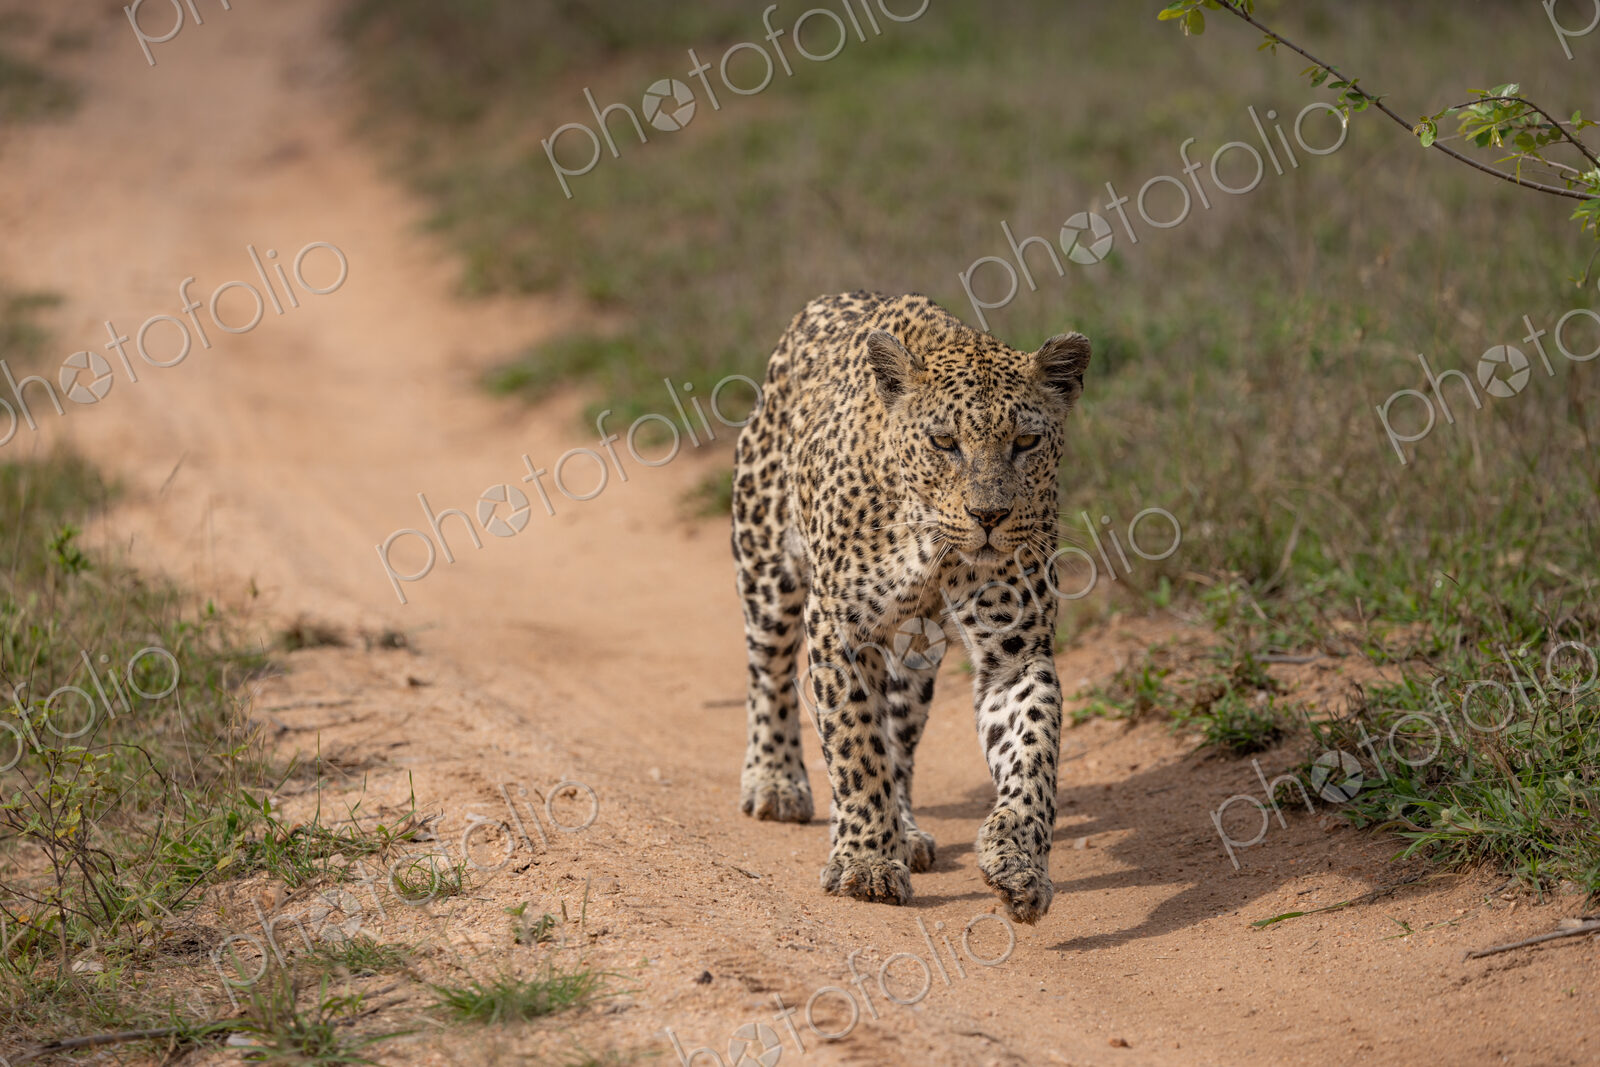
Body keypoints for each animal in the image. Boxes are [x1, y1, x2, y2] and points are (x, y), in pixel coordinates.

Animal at [730, 290, 1090, 924]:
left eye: (1025, 443)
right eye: (944, 443)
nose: (989, 516)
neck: (931, 547)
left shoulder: (1015, 652)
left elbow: (1032, 754)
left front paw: (1018, 863)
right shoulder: (839, 628)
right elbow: (854, 745)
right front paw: (867, 863)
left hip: (916, 656)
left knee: (897, 736)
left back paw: (909, 831)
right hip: (766, 566)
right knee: (768, 676)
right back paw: (775, 783)